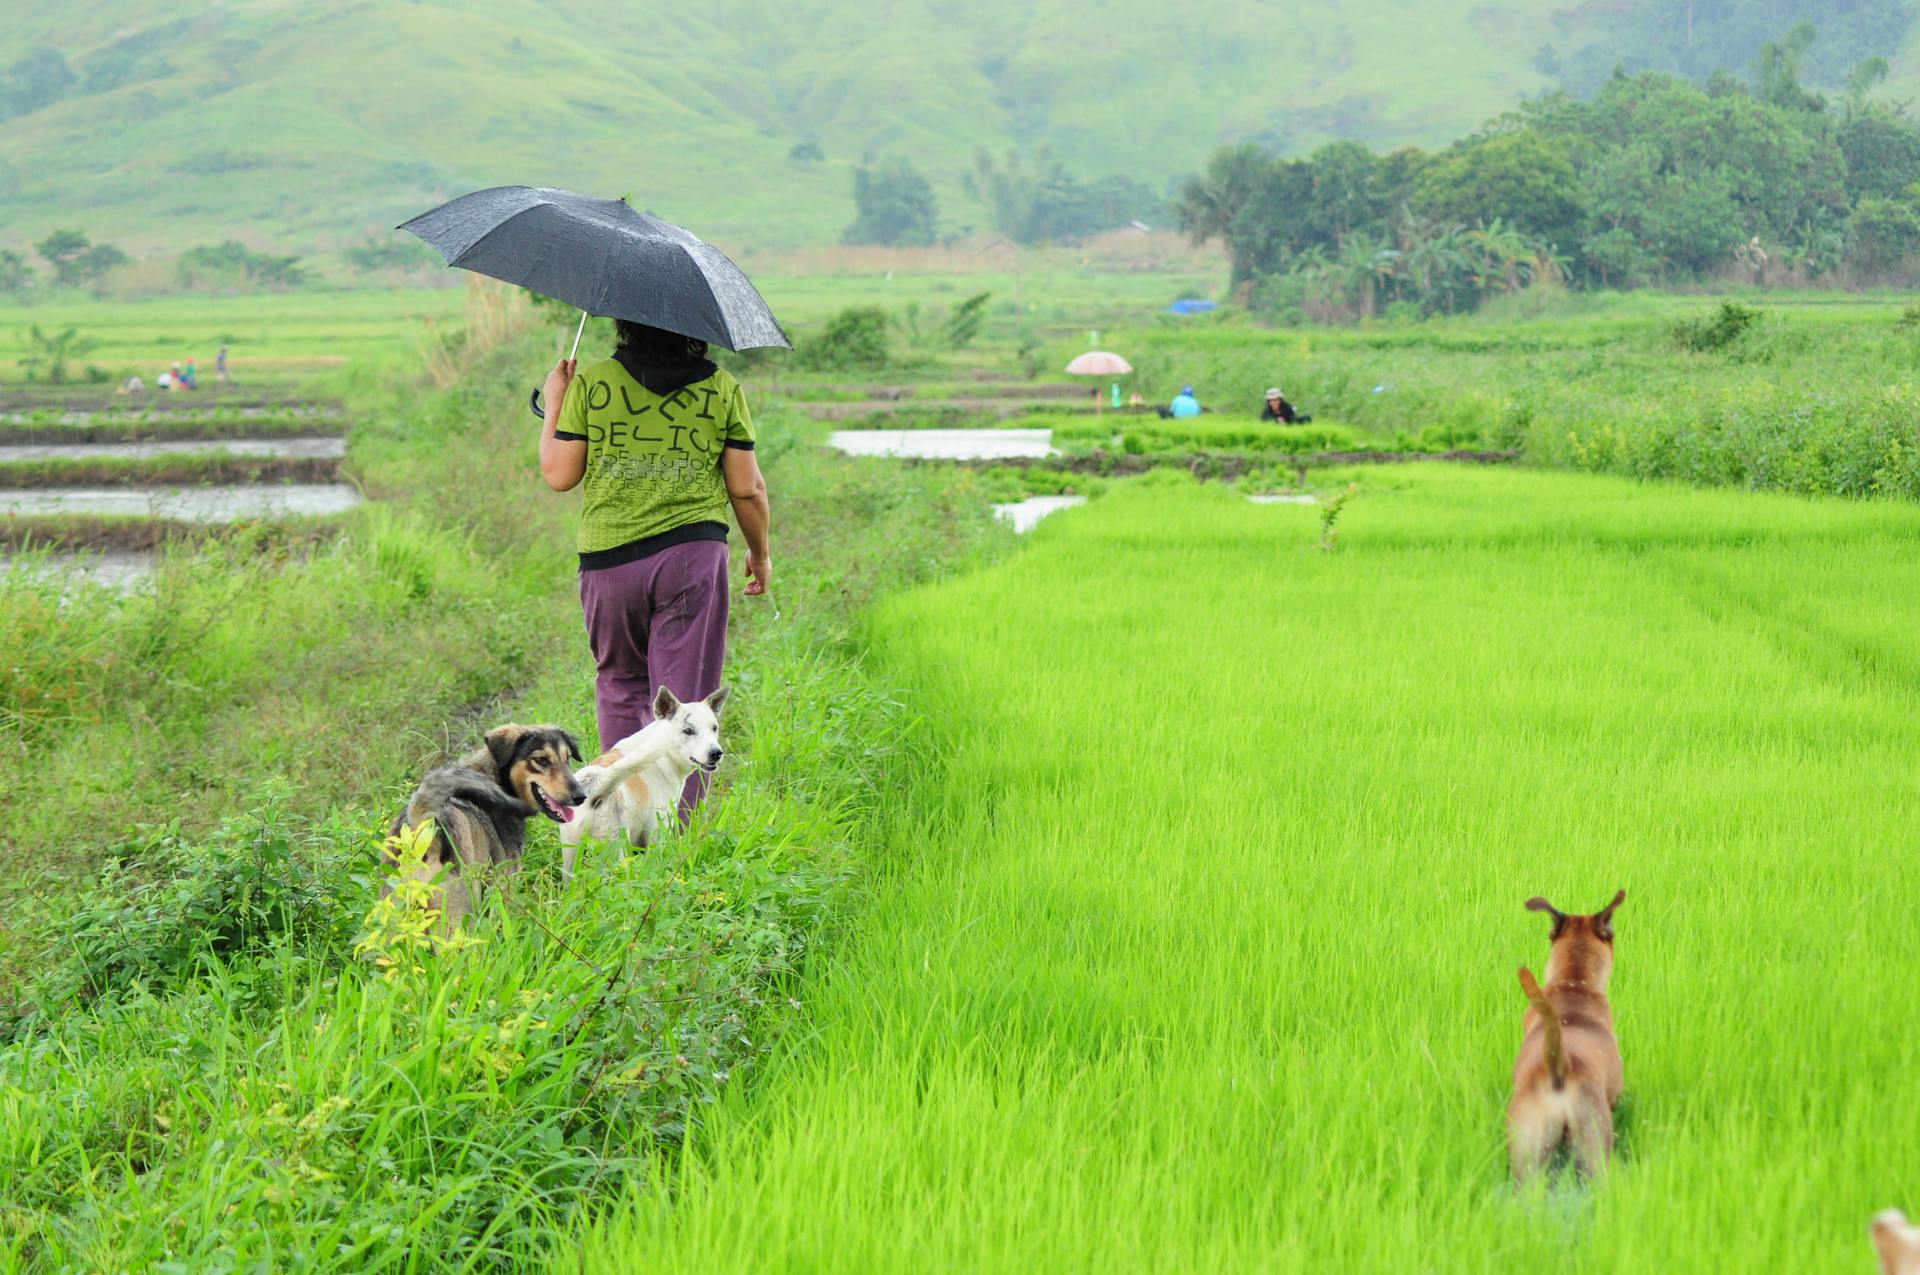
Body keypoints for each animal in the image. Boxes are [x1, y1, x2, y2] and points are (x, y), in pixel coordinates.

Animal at [382, 725, 576, 925]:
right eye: (541, 760)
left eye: (567, 758)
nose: (581, 796)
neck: (495, 779)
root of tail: (422, 823)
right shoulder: (503, 891)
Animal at [560, 683, 733, 883]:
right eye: (688, 731)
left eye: (714, 728)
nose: (716, 753)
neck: (665, 753)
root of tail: (597, 786)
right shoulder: (657, 832)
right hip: (615, 849)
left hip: (570, 855)